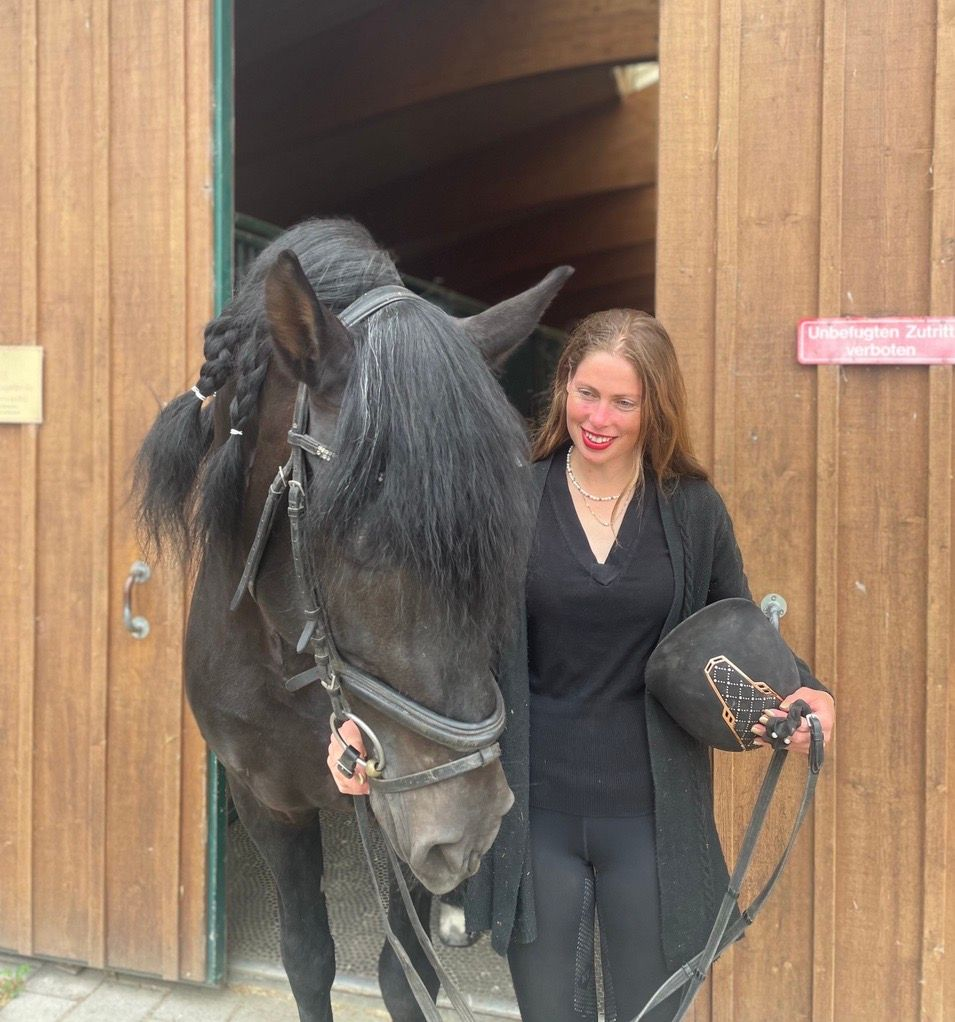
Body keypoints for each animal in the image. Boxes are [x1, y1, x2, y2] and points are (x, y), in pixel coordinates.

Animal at [134, 218, 570, 1021]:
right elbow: (308, 956)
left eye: (503, 533)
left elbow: (407, 973)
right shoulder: (268, 801)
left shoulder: (404, 809)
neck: (292, 672)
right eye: (365, 541)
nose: (466, 826)